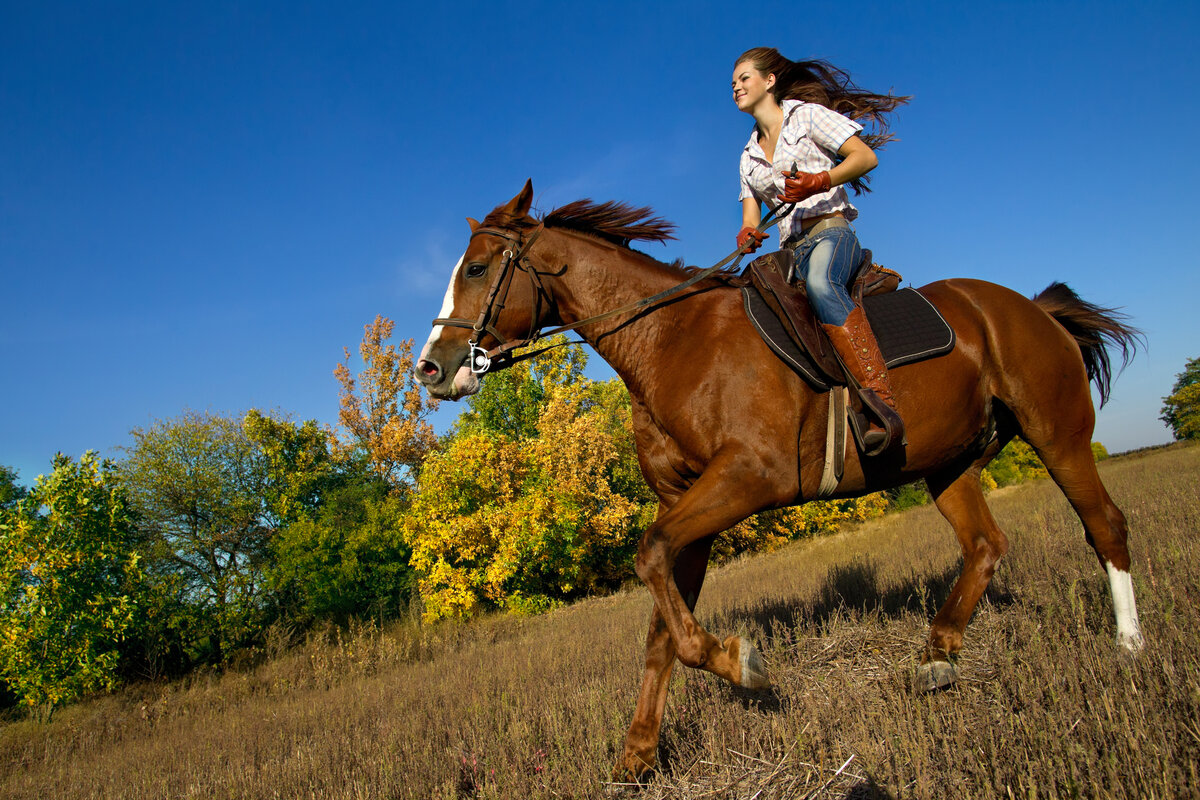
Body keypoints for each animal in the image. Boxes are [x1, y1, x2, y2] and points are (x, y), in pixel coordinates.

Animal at [417, 183, 1147, 782]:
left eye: (477, 268)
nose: (431, 368)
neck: (672, 339)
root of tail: (1031, 308)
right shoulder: (687, 506)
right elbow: (660, 627)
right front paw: (637, 757)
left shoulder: (746, 478)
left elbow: (653, 566)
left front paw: (743, 665)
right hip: (946, 466)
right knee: (986, 546)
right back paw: (938, 655)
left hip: (1057, 433)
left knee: (1104, 525)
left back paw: (1129, 646)